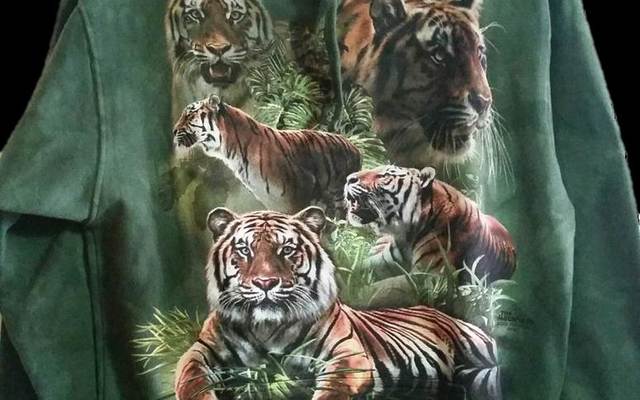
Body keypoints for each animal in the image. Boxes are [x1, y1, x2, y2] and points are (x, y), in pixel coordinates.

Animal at [172, 95, 361, 216]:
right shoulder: (274, 203)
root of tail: (354, 147)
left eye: (189, 114)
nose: (173, 131)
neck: (231, 150)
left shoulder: (299, 194)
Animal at [175, 207, 502, 400]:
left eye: (287, 249)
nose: (265, 283)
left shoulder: (348, 356)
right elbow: (190, 379)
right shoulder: (200, 351)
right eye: (244, 249)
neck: (267, 329)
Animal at [345, 165, 516, 283]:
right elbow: (355, 267)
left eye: (384, 175)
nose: (348, 178)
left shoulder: (429, 274)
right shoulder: (381, 261)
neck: (406, 234)